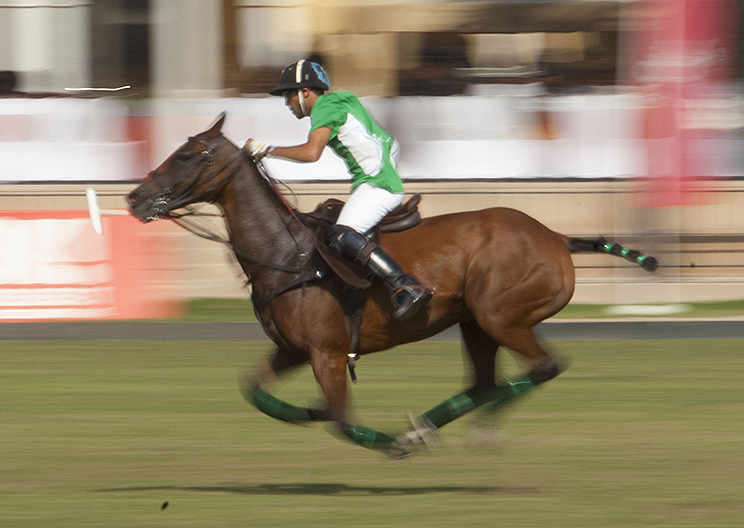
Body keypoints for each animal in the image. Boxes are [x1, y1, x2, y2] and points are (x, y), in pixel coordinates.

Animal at [126, 112, 656, 458]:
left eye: (188, 155)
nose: (135, 198)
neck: (284, 253)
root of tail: (556, 237)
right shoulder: (294, 350)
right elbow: (258, 393)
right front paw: (318, 412)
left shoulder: (325, 352)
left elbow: (341, 419)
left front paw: (386, 443)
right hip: (475, 323)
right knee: (485, 383)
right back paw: (428, 428)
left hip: (502, 316)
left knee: (544, 366)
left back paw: (436, 433)